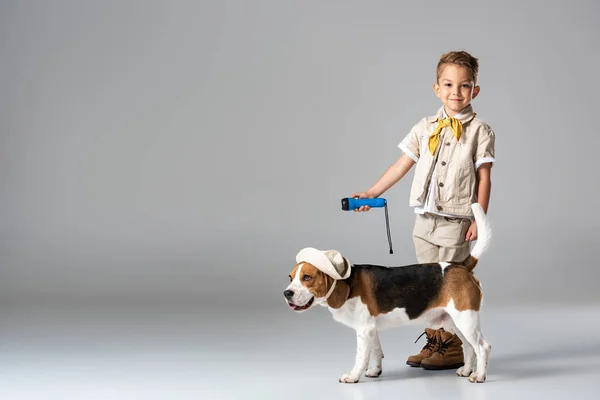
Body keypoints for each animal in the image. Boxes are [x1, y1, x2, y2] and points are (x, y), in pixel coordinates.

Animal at [286, 205, 492, 382]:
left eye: (307, 277)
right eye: (290, 277)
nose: (286, 293)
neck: (348, 283)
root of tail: (462, 266)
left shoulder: (364, 329)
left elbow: (360, 356)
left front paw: (353, 376)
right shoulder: (371, 329)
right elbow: (376, 351)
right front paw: (375, 371)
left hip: (466, 319)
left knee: (483, 347)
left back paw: (479, 376)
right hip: (453, 322)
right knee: (469, 347)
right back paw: (467, 370)